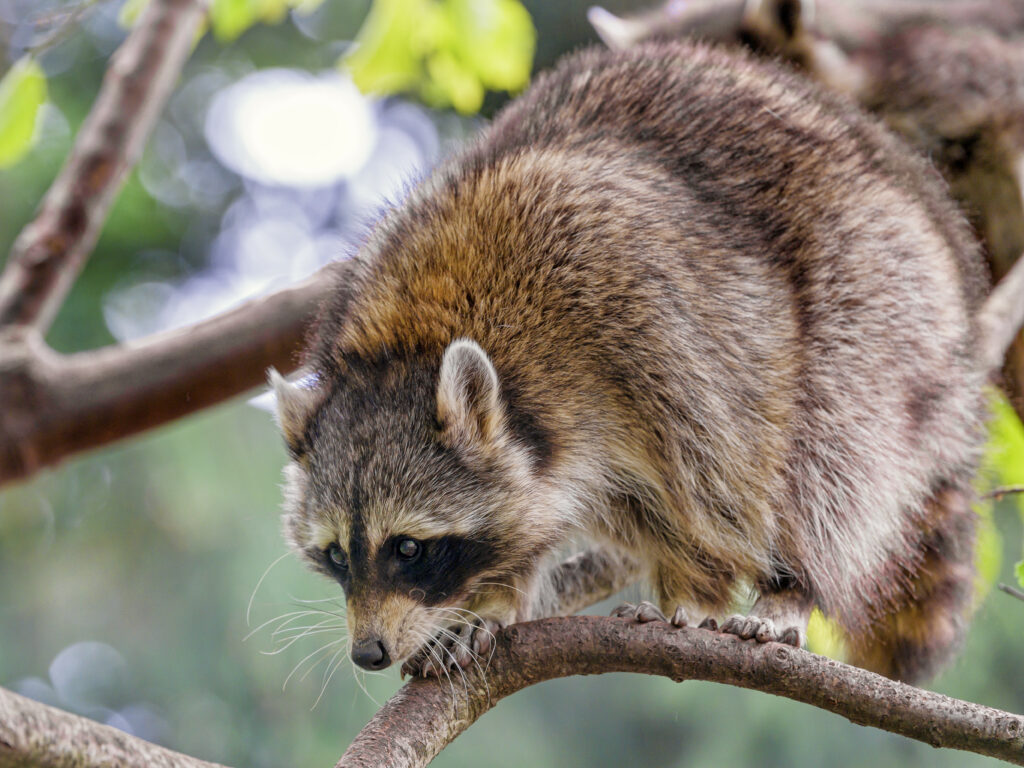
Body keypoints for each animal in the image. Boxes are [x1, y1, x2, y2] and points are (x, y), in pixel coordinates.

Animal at [272, 40, 989, 682]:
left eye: (409, 547)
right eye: (337, 555)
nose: (369, 652)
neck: (409, 344)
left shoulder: (657, 320)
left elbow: (725, 479)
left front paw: (702, 587)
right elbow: (537, 517)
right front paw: (495, 595)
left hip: (884, 284)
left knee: (835, 445)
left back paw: (793, 582)